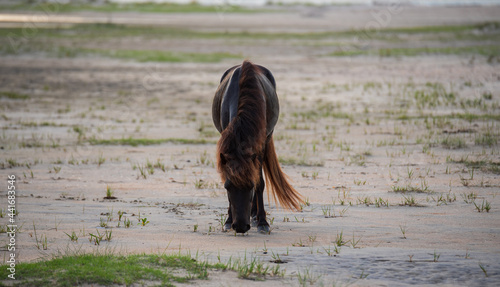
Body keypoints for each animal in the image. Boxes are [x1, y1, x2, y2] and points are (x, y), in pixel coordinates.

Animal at [210, 60, 300, 234]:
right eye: (227, 187)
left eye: (250, 186)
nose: (239, 227)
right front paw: (228, 220)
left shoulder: (260, 145)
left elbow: (260, 182)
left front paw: (263, 222)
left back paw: (255, 215)